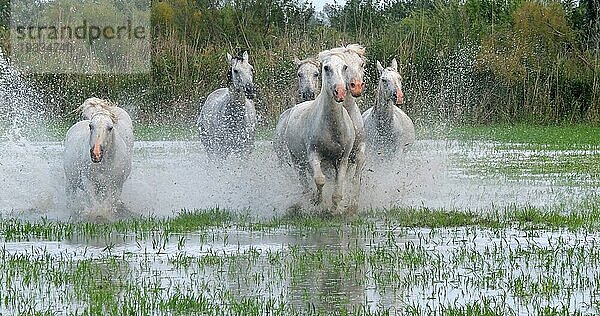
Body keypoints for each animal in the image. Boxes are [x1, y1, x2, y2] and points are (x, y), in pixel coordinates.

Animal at [282, 50, 356, 215]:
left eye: (345, 67)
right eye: (326, 68)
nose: (340, 92)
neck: (332, 127)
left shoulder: (342, 159)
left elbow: (338, 186)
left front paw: (334, 208)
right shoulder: (313, 154)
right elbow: (319, 180)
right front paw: (318, 200)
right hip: (297, 160)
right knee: (304, 179)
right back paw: (310, 197)